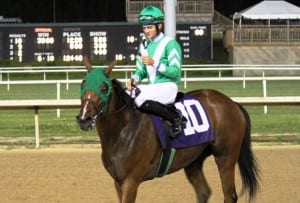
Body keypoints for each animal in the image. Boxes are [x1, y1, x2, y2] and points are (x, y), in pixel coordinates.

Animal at [76, 60, 258, 203]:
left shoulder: (131, 180)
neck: (123, 130)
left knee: (229, 196)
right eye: (83, 84)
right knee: (204, 192)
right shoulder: (118, 181)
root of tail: (232, 103)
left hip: (225, 157)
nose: (84, 118)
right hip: (193, 160)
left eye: (103, 87)